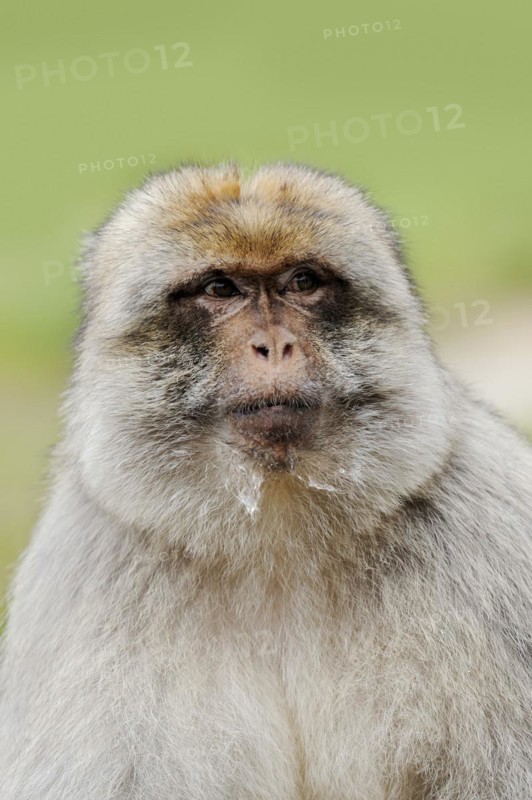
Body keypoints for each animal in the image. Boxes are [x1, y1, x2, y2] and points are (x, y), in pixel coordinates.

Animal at [0, 162, 530, 800]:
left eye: (303, 282)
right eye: (219, 289)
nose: (274, 345)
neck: (276, 530)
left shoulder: (489, 547)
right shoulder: (86, 587)